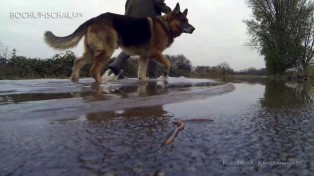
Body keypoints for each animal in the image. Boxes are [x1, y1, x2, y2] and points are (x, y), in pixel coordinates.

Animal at [44, 2, 194, 82]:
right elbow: (167, 63)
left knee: (78, 61)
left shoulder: (144, 57)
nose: (193, 29)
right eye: (183, 21)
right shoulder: (155, 53)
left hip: (91, 51)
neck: (166, 24)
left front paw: (144, 81)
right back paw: (102, 82)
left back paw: (75, 78)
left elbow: (141, 72)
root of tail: (94, 19)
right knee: (94, 69)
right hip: (107, 51)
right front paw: (165, 75)